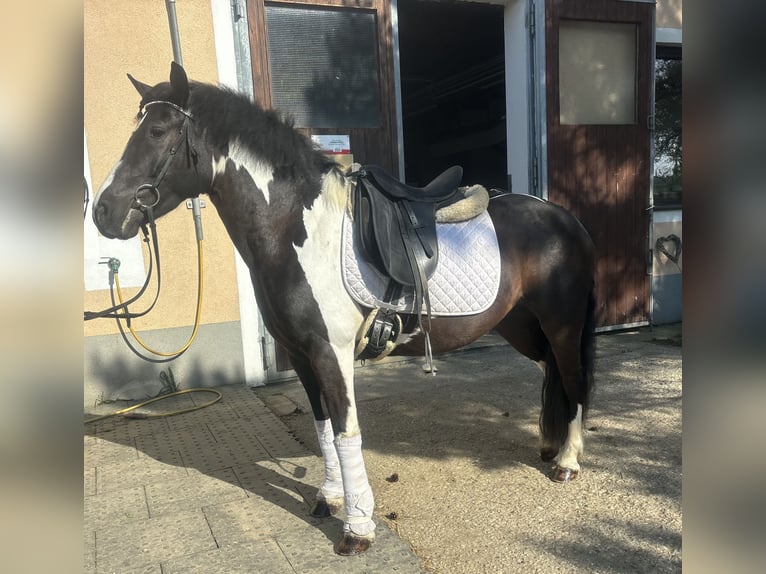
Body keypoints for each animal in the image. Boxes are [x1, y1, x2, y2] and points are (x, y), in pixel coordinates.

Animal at [93, 64, 600, 560]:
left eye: (157, 130)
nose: (102, 212)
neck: (294, 228)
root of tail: (564, 218)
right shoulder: (301, 354)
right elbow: (322, 429)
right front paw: (330, 498)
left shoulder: (330, 353)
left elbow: (345, 432)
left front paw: (357, 529)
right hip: (523, 327)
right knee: (552, 375)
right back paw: (550, 446)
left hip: (561, 325)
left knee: (573, 380)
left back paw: (567, 463)